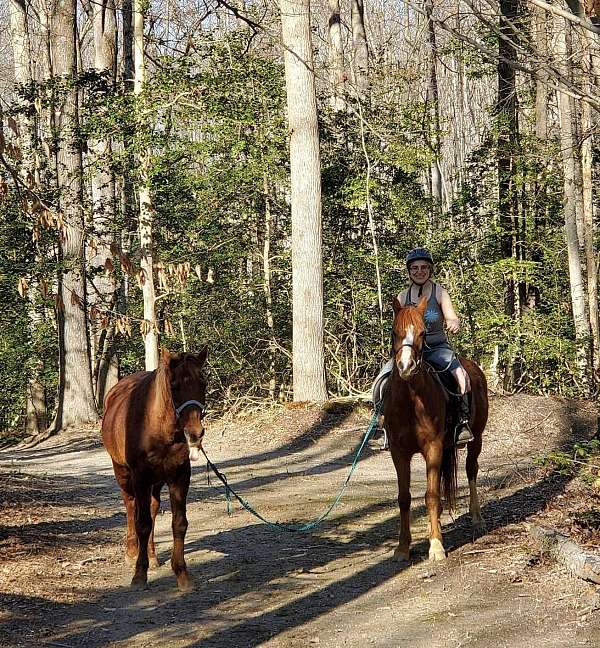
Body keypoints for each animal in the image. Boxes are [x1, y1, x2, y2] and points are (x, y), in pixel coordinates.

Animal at [101, 346, 208, 590]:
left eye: (203, 383)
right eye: (174, 385)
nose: (195, 433)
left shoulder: (179, 477)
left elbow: (178, 523)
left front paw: (182, 574)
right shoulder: (140, 477)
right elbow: (141, 523)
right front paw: (139, 574)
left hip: (156, 482)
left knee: (151, 508)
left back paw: (151, 555)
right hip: (123, 474)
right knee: (131, 507)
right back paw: (132, 553)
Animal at [384, 297, 488, 562]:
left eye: (422, 333)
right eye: (394, 332)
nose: (406, 366)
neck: (411, 401)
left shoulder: (433, 447)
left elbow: (430, 496)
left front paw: (437, 546)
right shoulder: (399, 452)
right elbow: (404, 498)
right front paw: (402, 548)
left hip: (476, 439)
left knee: (471, 470)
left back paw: (476, 517)